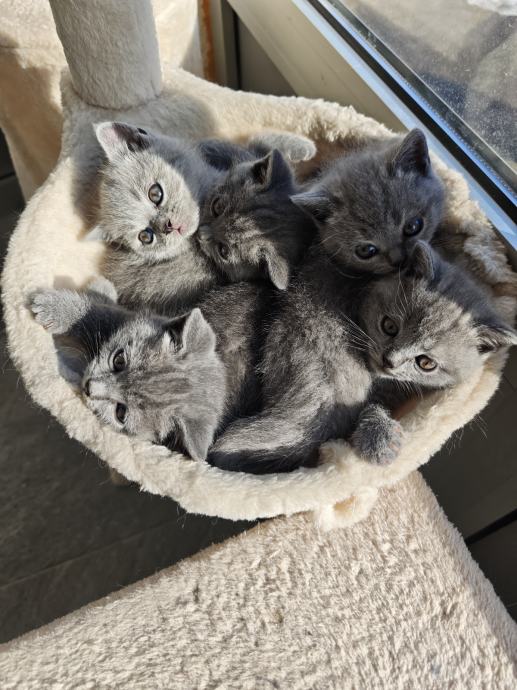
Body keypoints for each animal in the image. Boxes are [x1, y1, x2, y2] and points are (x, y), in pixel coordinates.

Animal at [29, 278, 269, 461]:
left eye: (121, 412)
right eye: (119, 360)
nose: (89, 387)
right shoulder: (137, 318)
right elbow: (97, 314)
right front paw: (58, 307)